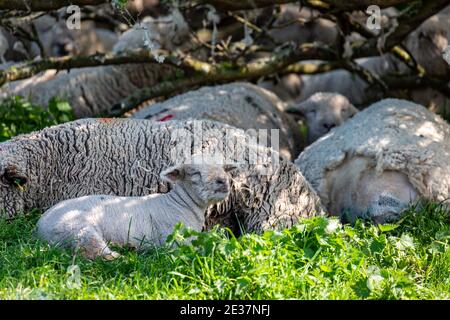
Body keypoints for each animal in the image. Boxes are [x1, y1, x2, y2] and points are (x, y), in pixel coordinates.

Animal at [36, 158, 234, 260]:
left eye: (223, 170)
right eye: (195, 173)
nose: (223, 181)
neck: (180, 204)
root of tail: (39, 230)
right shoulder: (175, 240)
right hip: (77, 229)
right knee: (93, 252)